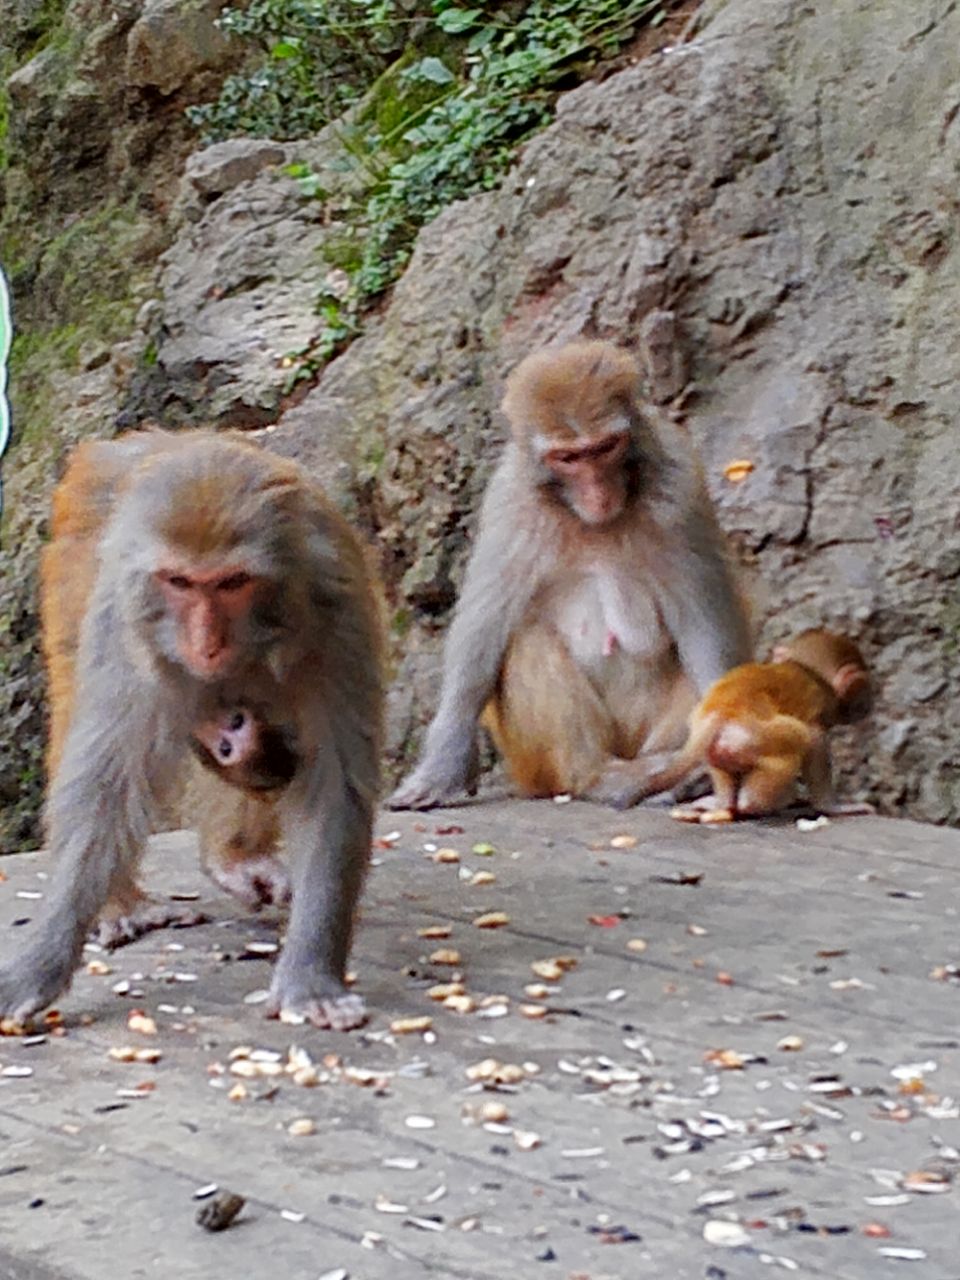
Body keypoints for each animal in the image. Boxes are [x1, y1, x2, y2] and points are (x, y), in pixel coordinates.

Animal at [642, 627, 875, 824]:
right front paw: (831, 806)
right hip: (751, 737)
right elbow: (816, 739)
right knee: (800, 736)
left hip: (717, 745)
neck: (805, 667)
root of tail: (720, 713)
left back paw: (723, 804)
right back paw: (750, 804)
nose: (866, 706)